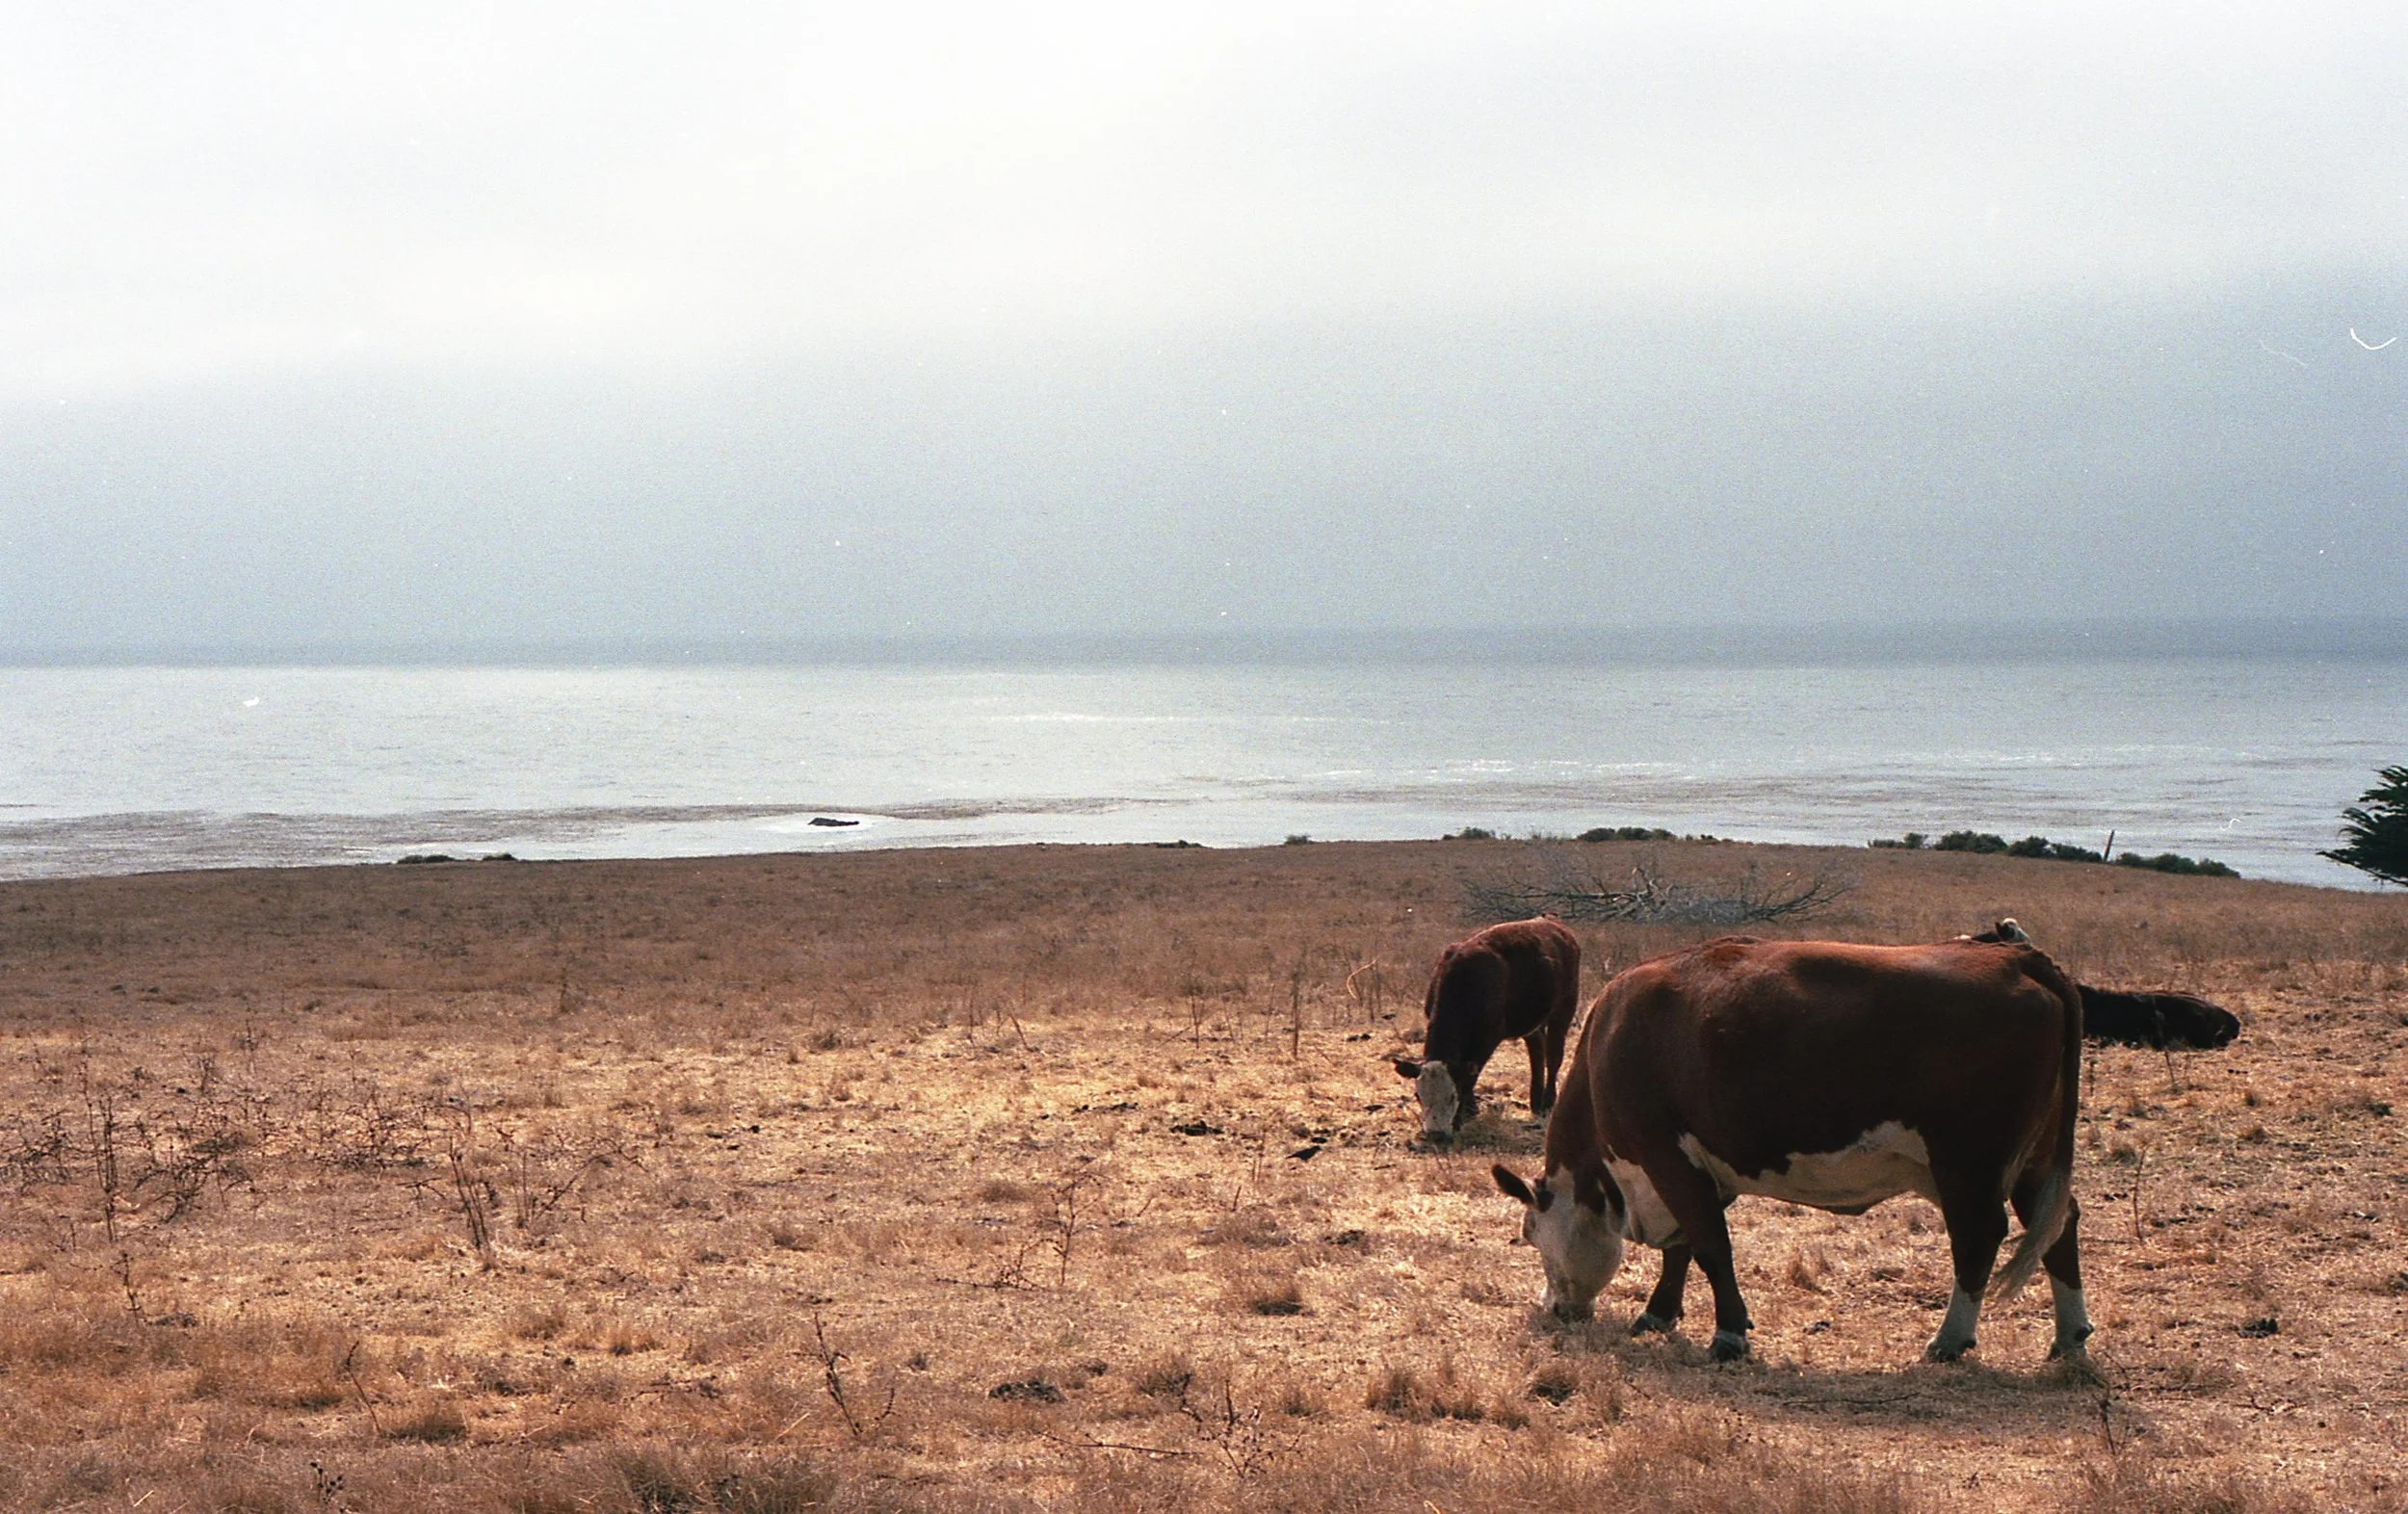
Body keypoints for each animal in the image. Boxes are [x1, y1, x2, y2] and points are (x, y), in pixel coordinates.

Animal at [1392, 917, 1581, 1143]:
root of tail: (1551, 921)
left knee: (1553, 1057)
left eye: (1453, 1095)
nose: (1436, 1135)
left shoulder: (1489, 1037)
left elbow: (1472, 1074)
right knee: (1537, 1051)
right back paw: (1535, 1101)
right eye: (1418, 1096)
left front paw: (1465, 1113)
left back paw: (1548, 1103)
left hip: (1564, 1009)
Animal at [1492, 934, 2089, 1365]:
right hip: (2033, 1164)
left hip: (1967, 1165)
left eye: (1530, 1233)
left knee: (1979, 1237)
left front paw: (1728, 1334)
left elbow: (1710, 1246)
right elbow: (1683, 1247)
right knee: (2059, 1226)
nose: (1554, 1309)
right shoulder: (1698, 1171)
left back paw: (1950, 1339)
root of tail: (2017, 958)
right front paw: (1658, 1313)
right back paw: (2069, 1337)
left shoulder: (1666, 1159)